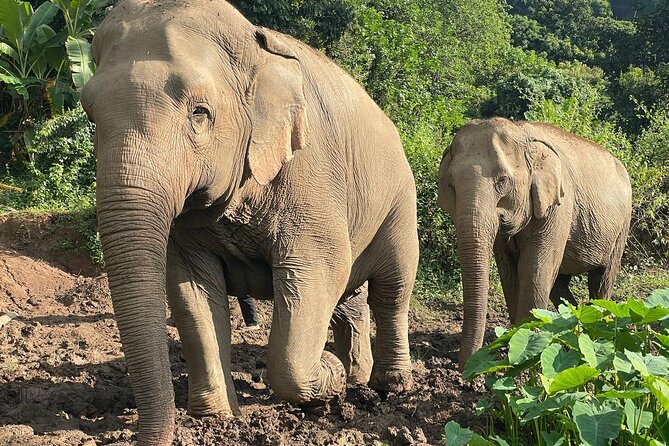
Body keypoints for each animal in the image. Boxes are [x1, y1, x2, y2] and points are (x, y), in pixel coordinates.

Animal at [80, 0, 419, 444]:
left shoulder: (311, 176)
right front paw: (216, 419)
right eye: (90, 115)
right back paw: (356, 375)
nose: (137, 435)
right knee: (350, 299)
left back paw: (388, 387)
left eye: (200, 113)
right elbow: (191, 289)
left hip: (400, 201)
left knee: (393, 289)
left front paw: (329, 374)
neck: (253, 44)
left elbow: (319, 269)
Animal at [437, 118, 632, 369]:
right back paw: (571, 319)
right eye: (451, 185)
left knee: (601, 279)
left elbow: (534, 268)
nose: (465, 373)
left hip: (622, 225)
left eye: (503, 181)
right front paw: (515, 337)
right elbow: (509, 272)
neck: (521, 132)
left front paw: (528, 342)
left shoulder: (559, 205)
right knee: (559, 283)